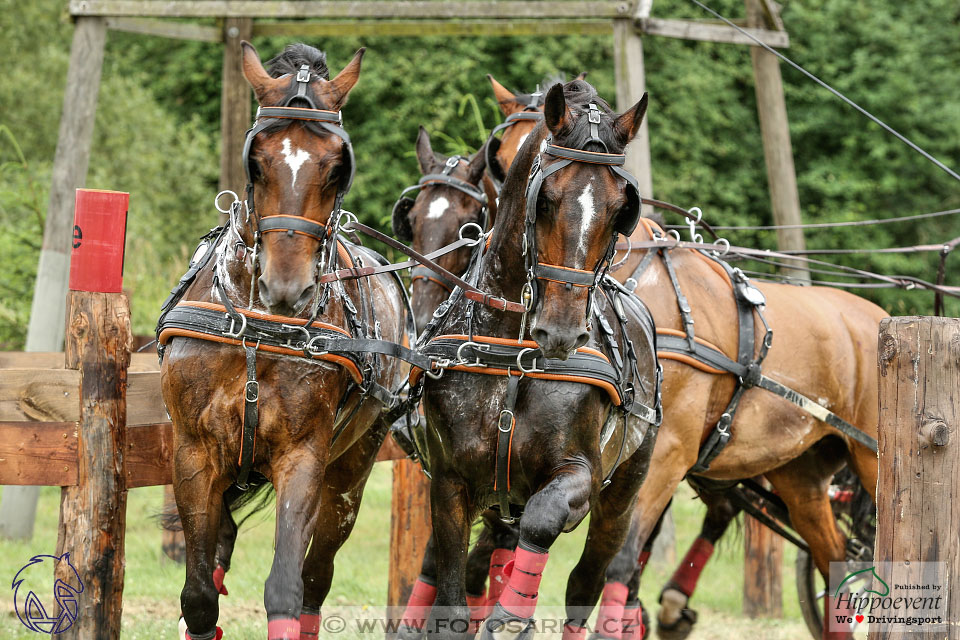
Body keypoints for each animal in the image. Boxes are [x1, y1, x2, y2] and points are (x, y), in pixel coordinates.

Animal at [157, 43, 408, 640]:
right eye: (257, 159)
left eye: (338, 165)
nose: (288, 287)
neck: (257, 332)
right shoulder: (193, 453)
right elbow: (198, 596)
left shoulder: (304, 457)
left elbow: (287, 589)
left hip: (351, 471)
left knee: (316, 577)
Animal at [416, 80, 664, 640]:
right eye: (545, 200)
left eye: (620, 210)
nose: (562, 330)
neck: (514, 356)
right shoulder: (449, 482)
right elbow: (452, 599)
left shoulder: (579, 474)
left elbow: (543, 518)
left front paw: (512, 617)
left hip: (626, 492)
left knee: (586, 584)